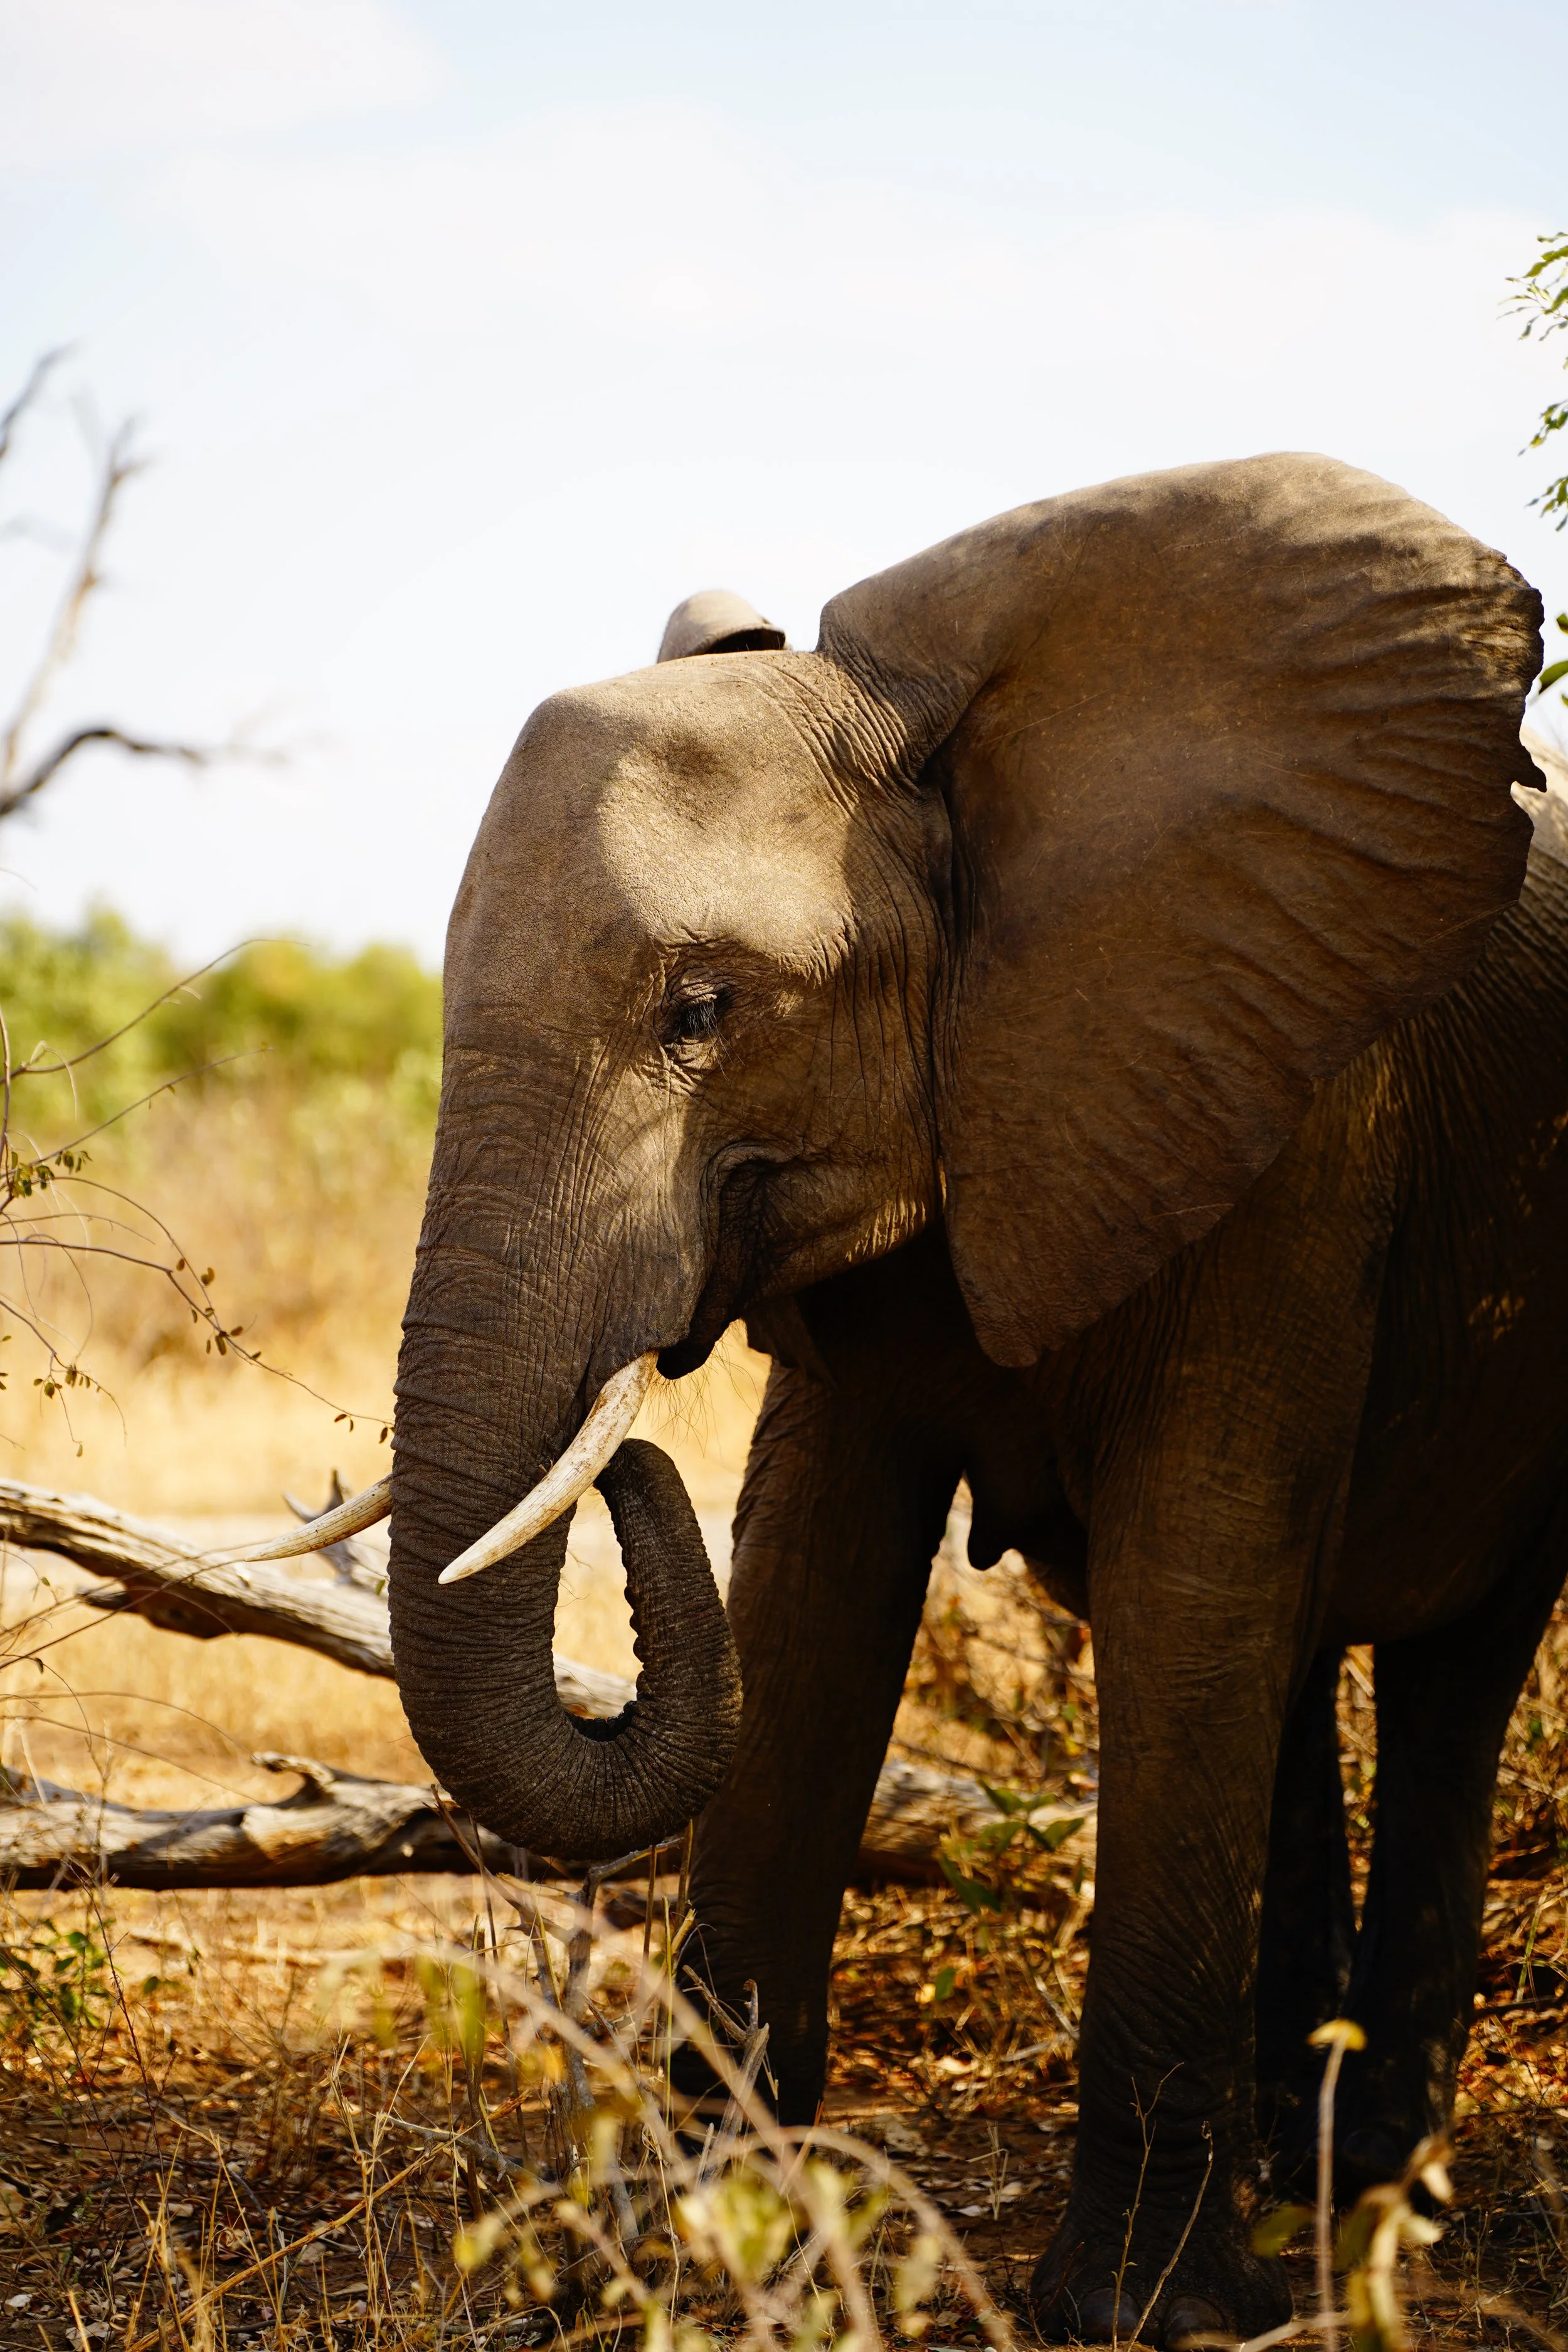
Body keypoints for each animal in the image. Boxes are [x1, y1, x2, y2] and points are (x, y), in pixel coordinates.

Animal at [383, 452, 1549, 2345]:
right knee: (1293, 1660)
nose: (623, 1450)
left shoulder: (1295, 1101)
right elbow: (810, 1581)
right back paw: (1295, 2168)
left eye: (703, 1009)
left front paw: (1140, 2313)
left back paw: (1376, 2192)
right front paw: (713, 2239)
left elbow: (1186, 1576)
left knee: (1448, 1659)